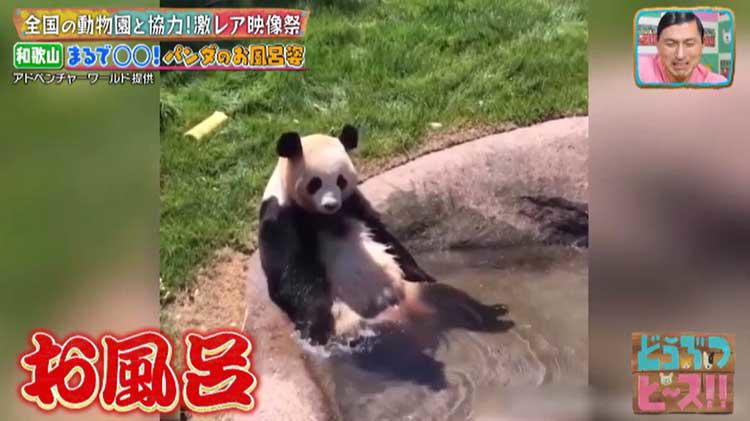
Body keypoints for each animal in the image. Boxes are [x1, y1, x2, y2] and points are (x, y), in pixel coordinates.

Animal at [258, 124, 512, 344]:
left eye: (340, 180)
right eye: (315, 183)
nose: (331, 204)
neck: (322, 216)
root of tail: (405, 316)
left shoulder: (353, 204)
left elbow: (384, 236)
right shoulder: (281, 217)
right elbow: (290, 274)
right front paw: (316, 328)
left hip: (414, 291)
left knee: (448, 297)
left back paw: (491, 317)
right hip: (353, 320)